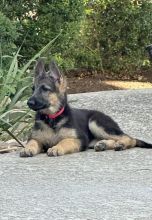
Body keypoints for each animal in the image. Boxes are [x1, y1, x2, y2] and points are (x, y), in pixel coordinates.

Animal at [20, 59, 152, 157]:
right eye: (33, 89)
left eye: (45, 89)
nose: (29, 102)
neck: (52, 118)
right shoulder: (35, 138)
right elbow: (32, 142)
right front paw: (27, 148)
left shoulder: (79, 139)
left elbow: (65, 140)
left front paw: (56, 148)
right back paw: (104, 144)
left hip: (95, 122)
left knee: (130, 138)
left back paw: (121, 144)